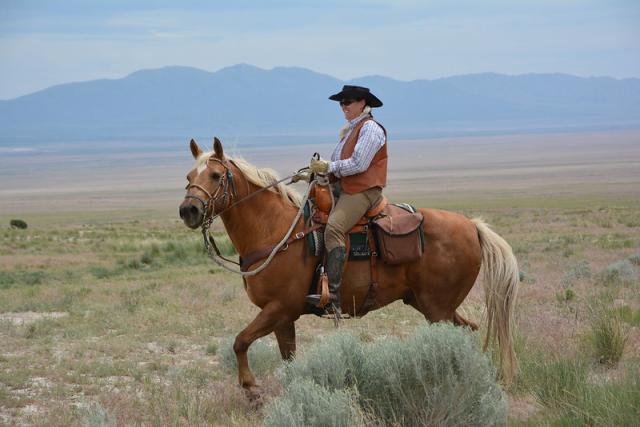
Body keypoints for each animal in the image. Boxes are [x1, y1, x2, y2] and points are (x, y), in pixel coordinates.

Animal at [178, 137, 516, 394]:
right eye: (189, 177)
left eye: (216, 176)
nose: (188, 210)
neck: (274, 231)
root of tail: (472, 226)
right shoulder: (283, 318)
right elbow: (287, 357)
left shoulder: (279, 308)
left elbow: (240, 342)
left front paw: (250, 388)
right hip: (429, 304)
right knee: (468, 330)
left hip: (437, 308)